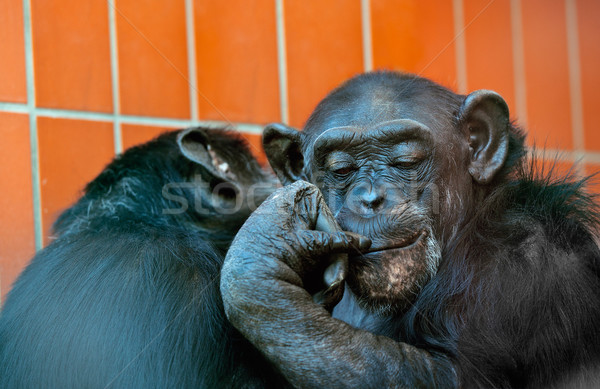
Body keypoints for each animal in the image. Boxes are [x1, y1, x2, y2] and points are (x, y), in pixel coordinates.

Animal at [219, 71, 600, 386]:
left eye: (406, 161)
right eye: (342, 169)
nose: (371, 199)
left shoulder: (526, 257)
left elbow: (450, 374)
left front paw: (260, 257)